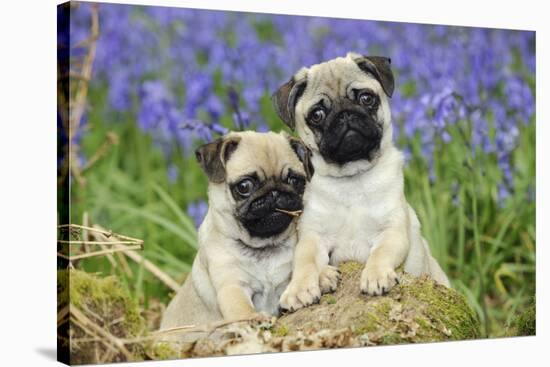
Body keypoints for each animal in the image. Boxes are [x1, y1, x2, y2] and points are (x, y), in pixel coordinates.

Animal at [161, 132, 314, 336]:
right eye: (244, 186)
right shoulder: (232, 286)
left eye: (295, 181)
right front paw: (254, 319)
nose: (274, 192)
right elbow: (241, 308)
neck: (264, 247)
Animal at [274, 51, 450, 312]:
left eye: (366, 99)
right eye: (317, 115)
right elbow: (304, 262)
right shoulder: (312, 237)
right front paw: (299, 289)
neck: (352, 179)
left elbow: (381, 252)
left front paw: (375, 275)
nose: (345, 114)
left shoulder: (392, 230)